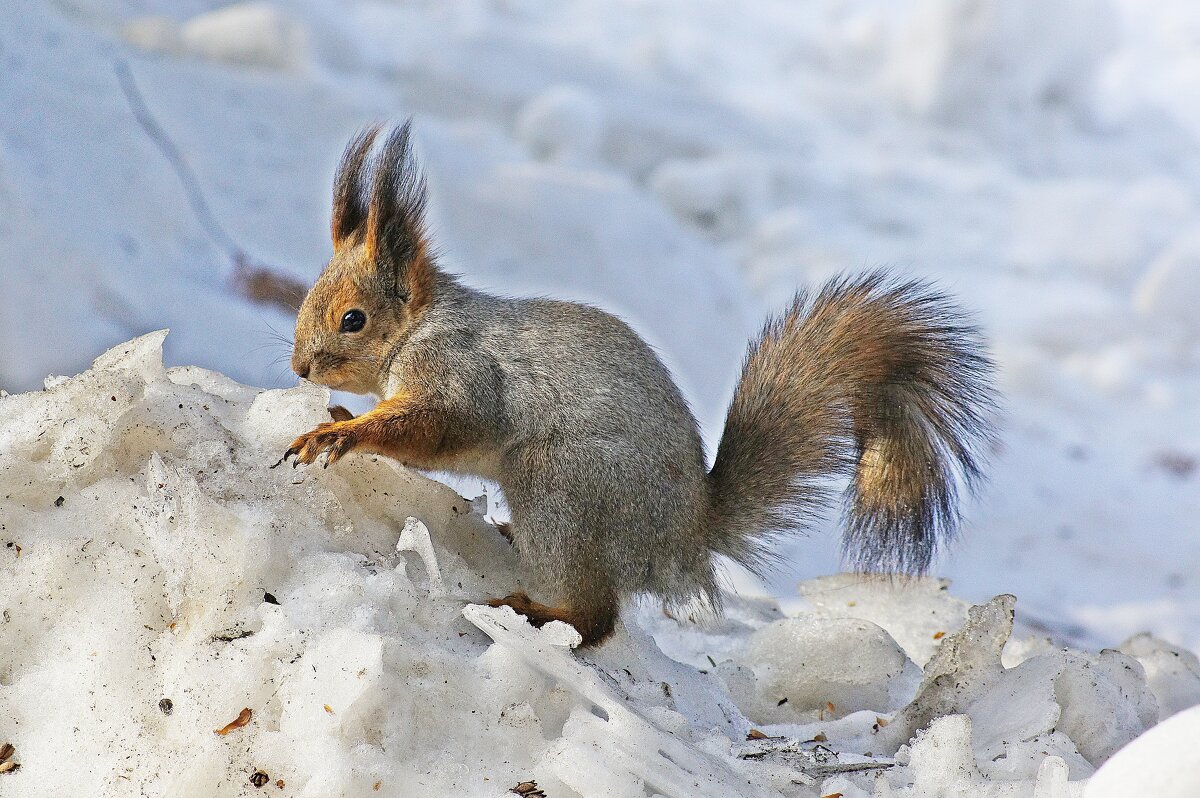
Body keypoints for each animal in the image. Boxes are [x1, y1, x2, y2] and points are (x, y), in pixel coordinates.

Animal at [280, 124, 993, 648]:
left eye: (352, 319)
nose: (302, 369)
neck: (420, 328)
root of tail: (685, 539)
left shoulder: (460, 376)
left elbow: (433, 427)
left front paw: (341, 433)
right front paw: (338, 413)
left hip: (564, 486)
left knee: (597, 617)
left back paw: (540, 612)